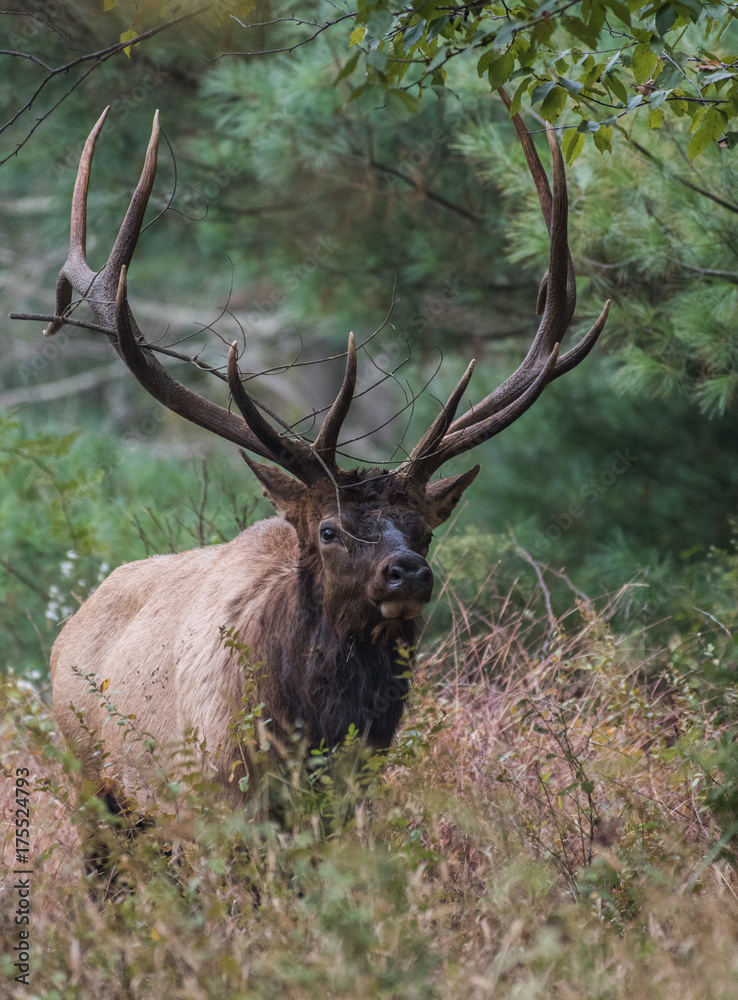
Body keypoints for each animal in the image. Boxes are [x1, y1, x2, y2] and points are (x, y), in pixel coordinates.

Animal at [42, 103, 609, 823]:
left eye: (424, 530)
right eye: (329, 530)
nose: (407, 571)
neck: (310, 734)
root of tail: (68, 630)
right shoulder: (223, 801)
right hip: (96, 786)